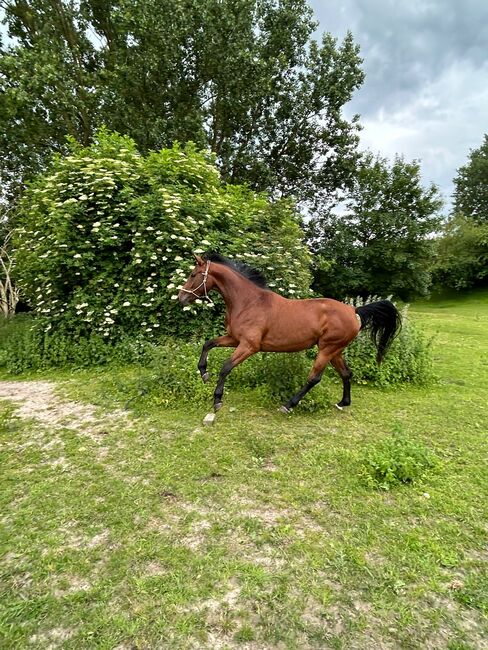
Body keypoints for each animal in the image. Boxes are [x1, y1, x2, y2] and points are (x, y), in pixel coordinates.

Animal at [177, 252, 402, 410]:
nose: (181, 298)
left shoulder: (249, 346)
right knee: (346, 373)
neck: (249, 302)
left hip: (327, 349)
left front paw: (217, 400)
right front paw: (204, 373)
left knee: (315, 378)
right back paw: (342, 403)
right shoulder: (234, 338)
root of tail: (353, 311)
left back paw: (288, 405)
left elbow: (226, 367)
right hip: (335, 350)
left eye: (193, 274)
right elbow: (208, 344)